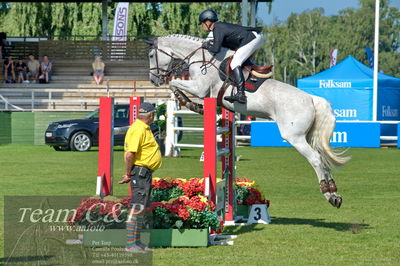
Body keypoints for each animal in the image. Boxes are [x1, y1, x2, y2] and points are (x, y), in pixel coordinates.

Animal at [147, 34, 350, 208]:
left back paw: (328, 193)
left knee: (316, 159)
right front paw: (192, 104)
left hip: (295, 137)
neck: (200, 57)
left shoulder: (199, 88)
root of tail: (311, 98)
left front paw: (188, 103)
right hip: (307, 137)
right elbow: (175, 84)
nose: (153, 80)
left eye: (150, 55)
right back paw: (335, 193)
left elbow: (174, 84)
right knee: (323, 159)